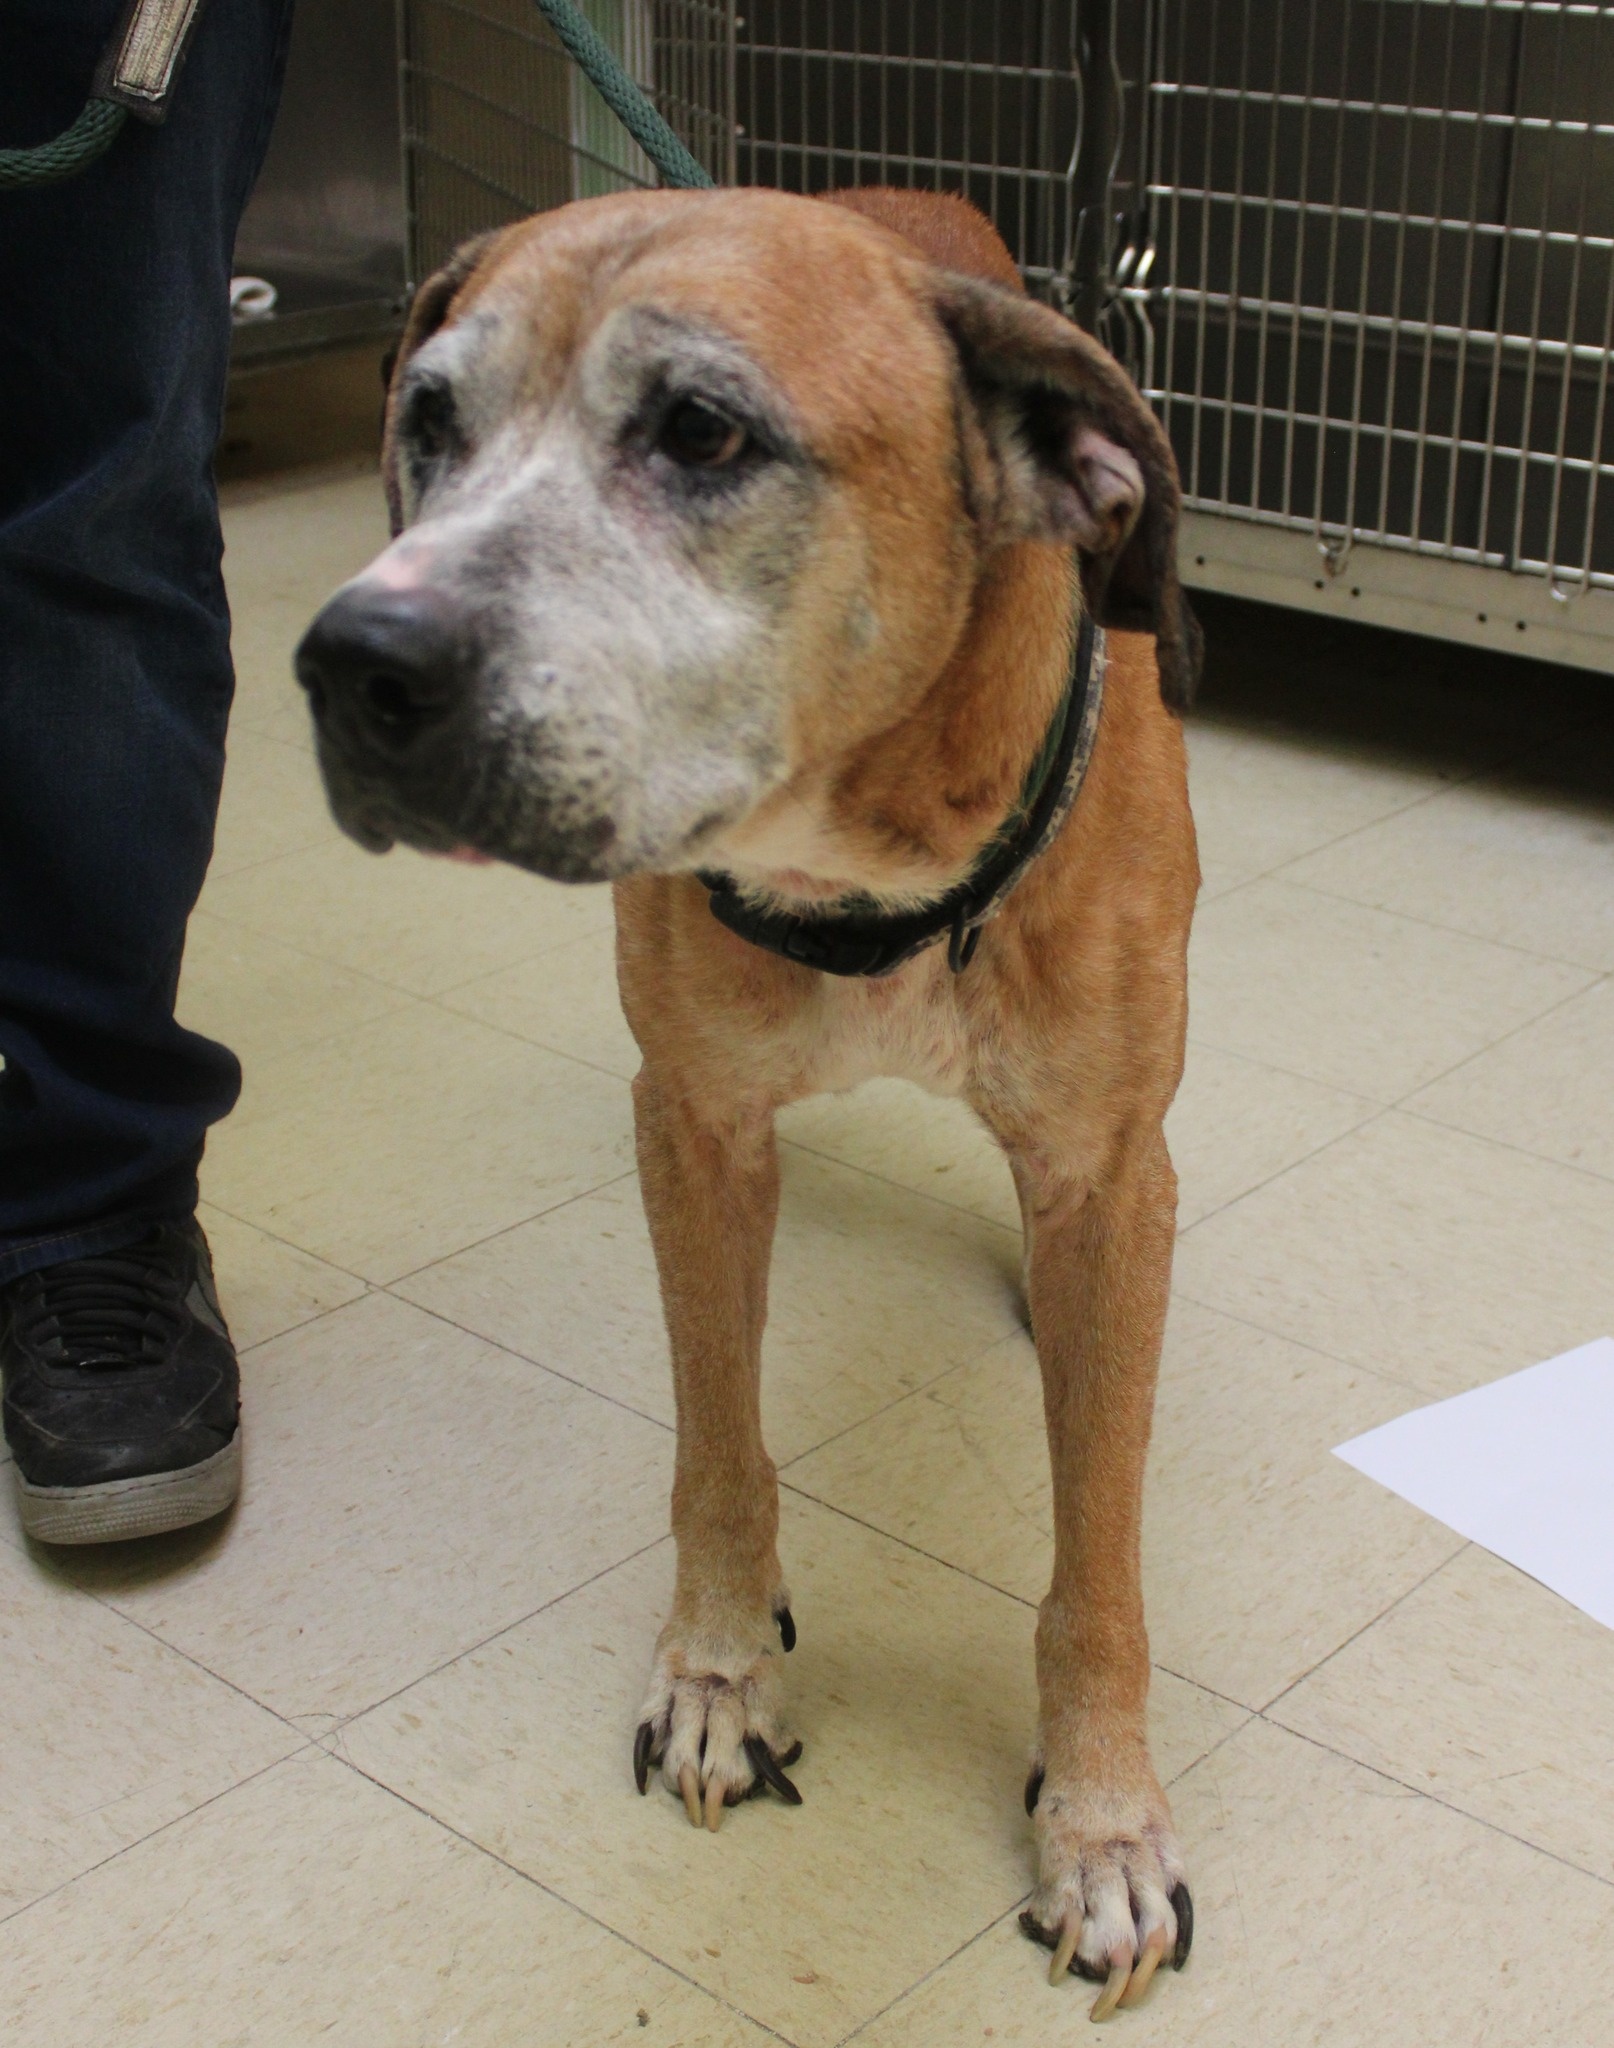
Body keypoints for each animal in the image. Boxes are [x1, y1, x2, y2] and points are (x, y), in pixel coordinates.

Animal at [299, 184, 1196, 2023]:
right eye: (430, 421)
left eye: (702, 431)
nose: (349, 660)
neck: (870, 878)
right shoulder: (698, 1130)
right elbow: (717, 1447)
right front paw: (716, 1674)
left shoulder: (1106, 1168)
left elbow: (1098, 1559)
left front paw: (1101, 1822)